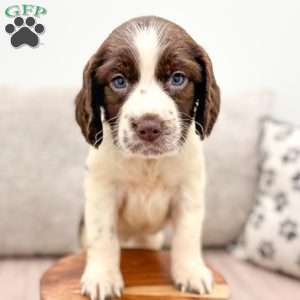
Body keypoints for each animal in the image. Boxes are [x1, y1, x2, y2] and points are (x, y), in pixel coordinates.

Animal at [75, 15, 220, 300]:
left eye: (178, 78)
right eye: (119, 81)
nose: (149, 127)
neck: (148, 164)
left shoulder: (188, 192)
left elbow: (187, 235)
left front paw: (191, 273)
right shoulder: (101, 192)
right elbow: (104, 236)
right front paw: (102, 278)